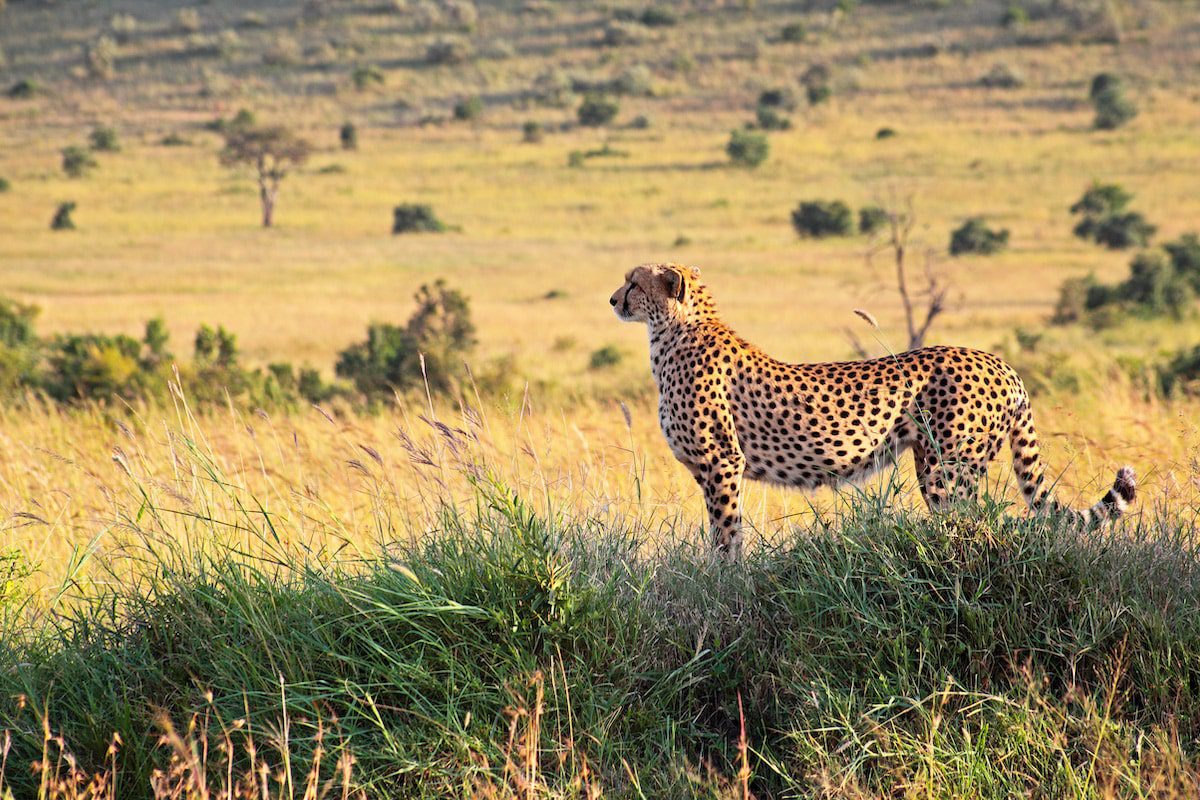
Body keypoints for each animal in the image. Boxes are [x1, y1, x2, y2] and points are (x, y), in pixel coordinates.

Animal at [610, 263, 1137, 557]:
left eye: (633, 282)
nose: (613, 298)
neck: (673, 331)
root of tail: (998, 361)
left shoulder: (722, 462)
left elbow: (726, 532)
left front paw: (725, 582)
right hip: (936, 462)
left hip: (949, 470)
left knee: (972, 523)